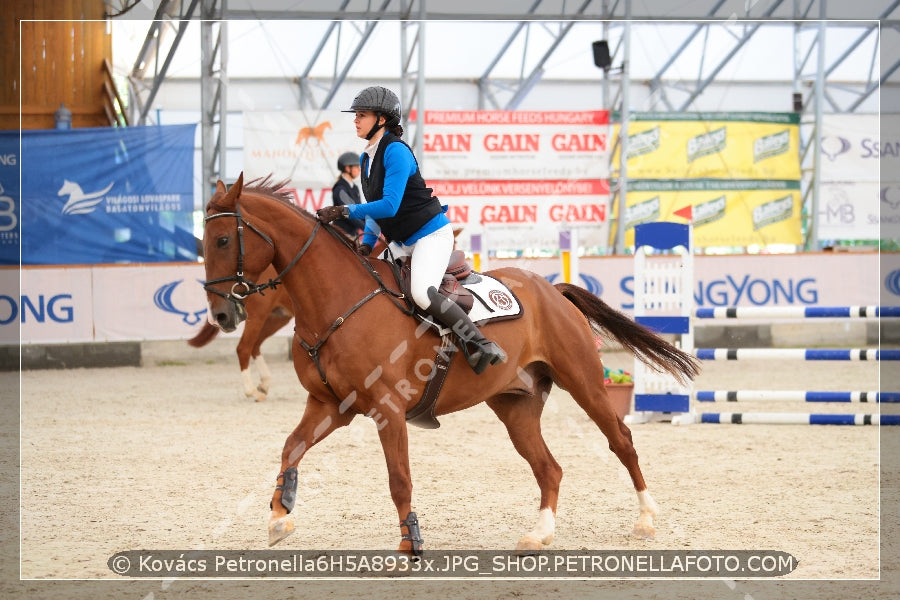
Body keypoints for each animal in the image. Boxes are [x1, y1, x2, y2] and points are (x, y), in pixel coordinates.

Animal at [200, 173, 700, 552]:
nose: (222, 314)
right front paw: (279, 517)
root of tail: (551, 290)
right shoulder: (329, 406)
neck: (337, 303)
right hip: (515, 405)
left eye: (223, 239)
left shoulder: (387, 410)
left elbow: (399, 480)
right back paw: (539, 534)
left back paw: (646, 519)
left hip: (585, 383)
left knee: (621, 441)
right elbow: (291, 448)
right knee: (548, 467)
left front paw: (410, 546)